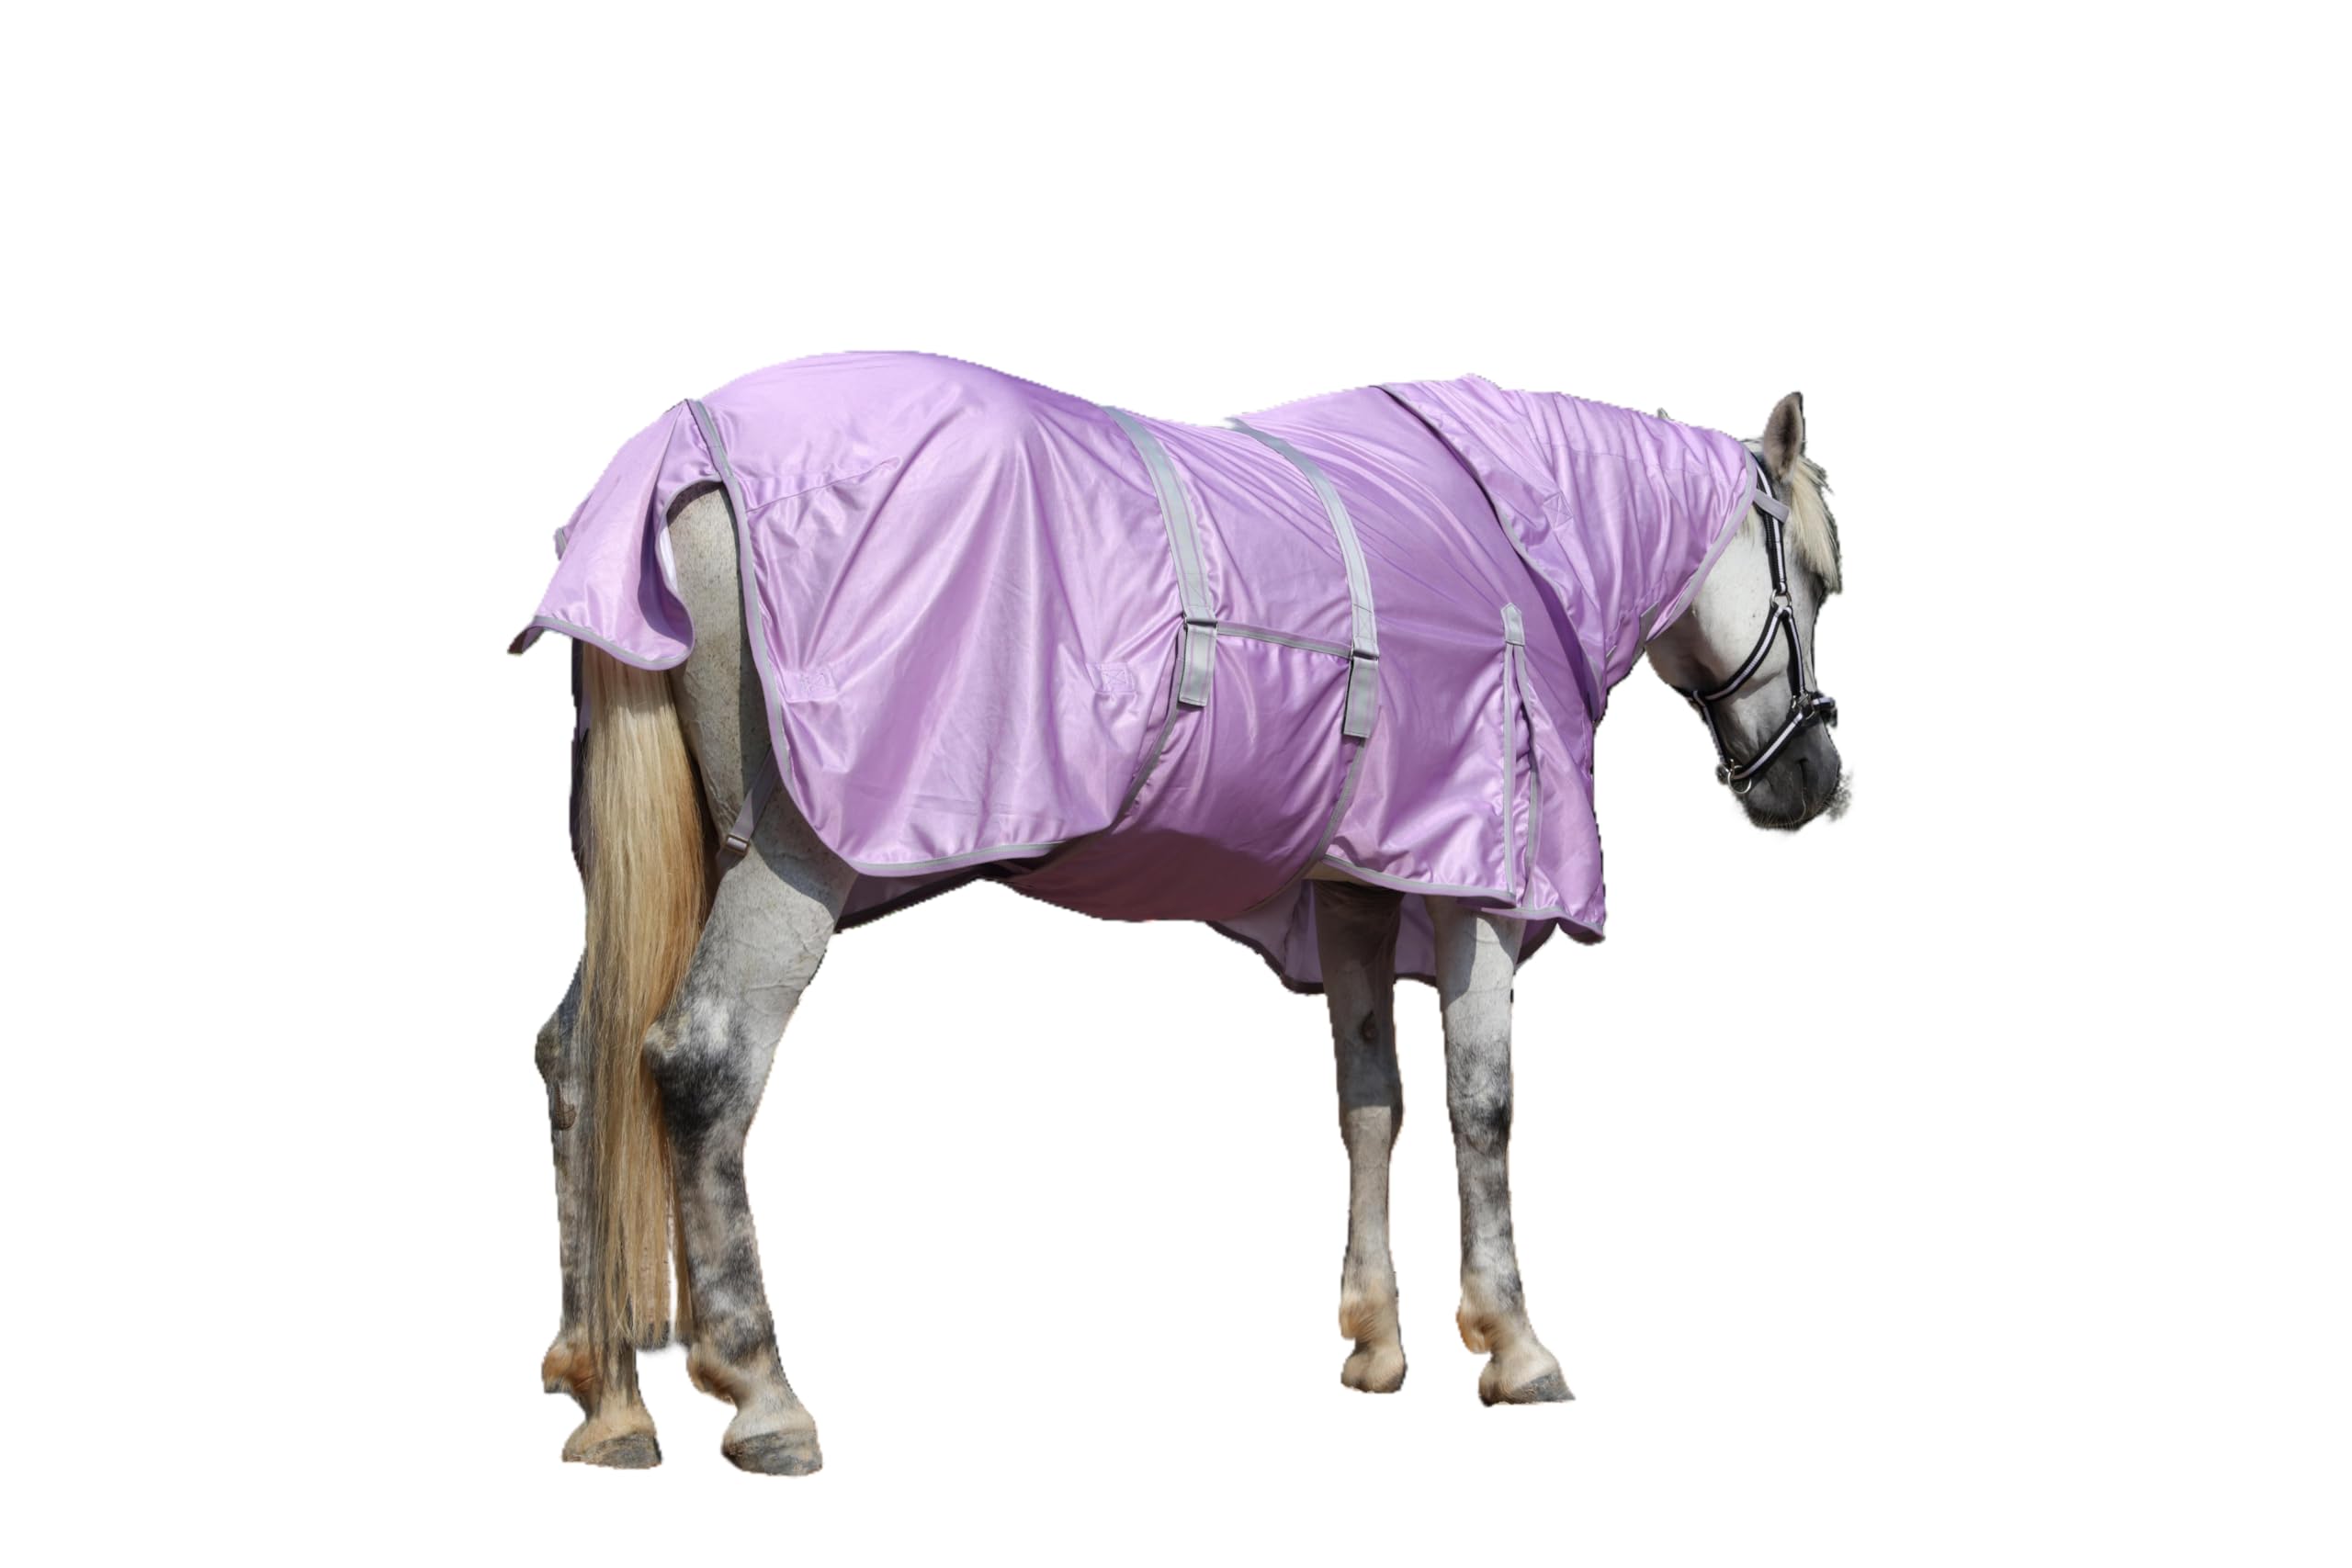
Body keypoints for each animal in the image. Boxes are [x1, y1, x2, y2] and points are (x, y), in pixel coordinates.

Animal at [519, 355, 1845, 1472]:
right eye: (1824, 580)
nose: (1813, 782)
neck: (1508, 547)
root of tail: (679, 457)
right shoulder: (1481, 885)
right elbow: (1484, 1107)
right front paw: (1514, 1343)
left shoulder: (1354, 889)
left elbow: (1370, 1102)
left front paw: (1376, 1339)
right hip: (789, 856)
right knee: (701, 1061)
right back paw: (762, 1394)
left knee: (579, 1057)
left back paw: (609, 1398)